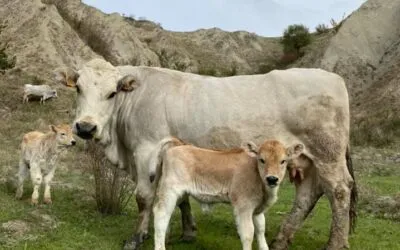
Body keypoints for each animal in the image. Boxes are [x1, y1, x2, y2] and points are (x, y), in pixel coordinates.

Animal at [152, 137, 304, 250]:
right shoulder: (243, 207)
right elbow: (248, 233)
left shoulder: (258, 210)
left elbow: (260, 229)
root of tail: (179, 145)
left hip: (178, 194)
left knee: (166, 215)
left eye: (283, 161)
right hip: (170, 190)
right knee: (161, 214)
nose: (272, 179)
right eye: (262, 160)